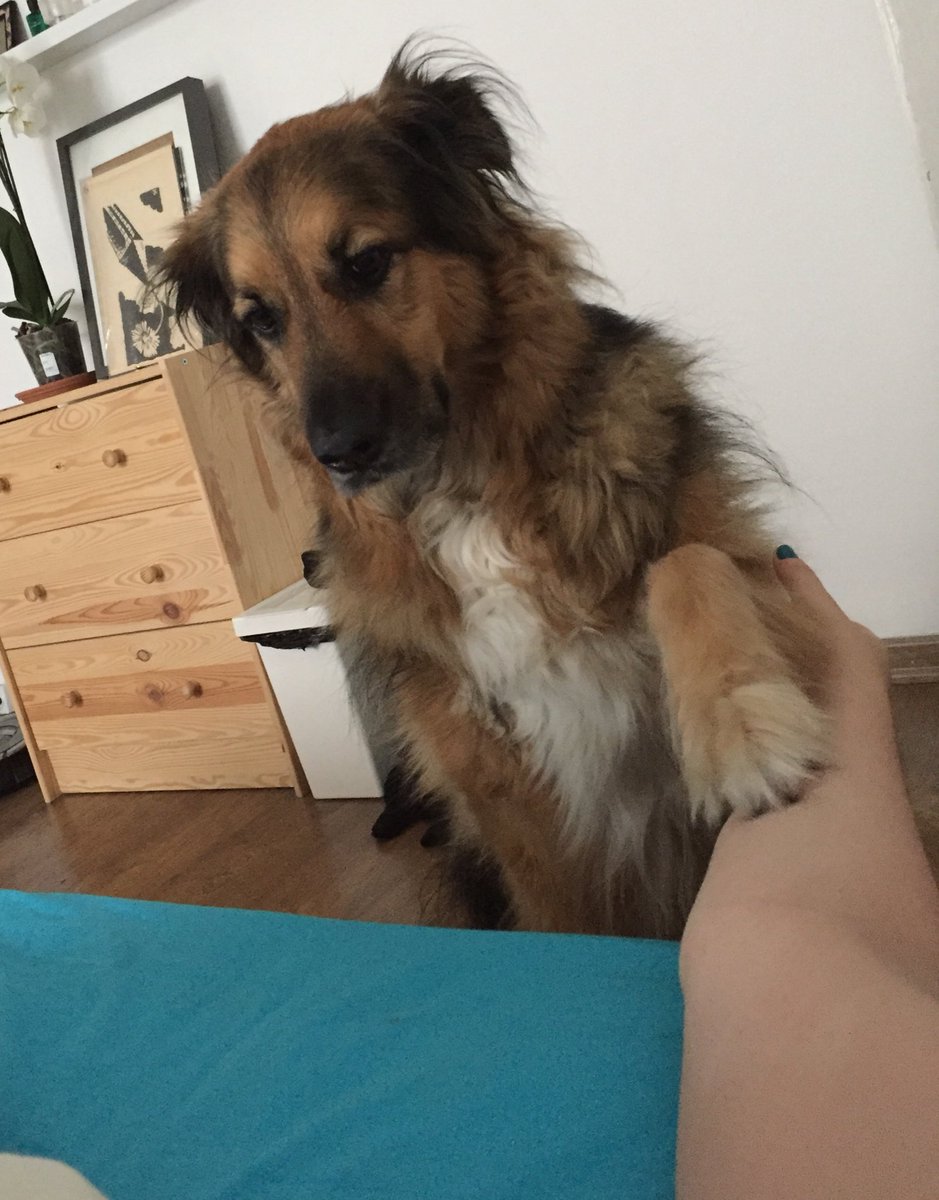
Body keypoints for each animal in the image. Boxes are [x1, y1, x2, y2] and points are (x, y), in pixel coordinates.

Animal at [158, 45, 834, 937]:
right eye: (261, 319)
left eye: (366, 263)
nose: (338, 453)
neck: (461, 493)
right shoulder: (509, 811)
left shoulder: (775, 583)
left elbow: (689, 563)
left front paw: (742, 730)